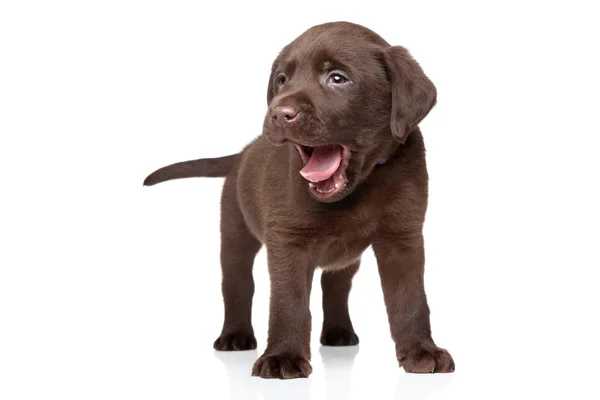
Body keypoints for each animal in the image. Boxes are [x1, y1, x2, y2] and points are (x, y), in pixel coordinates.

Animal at [144, 21, 454, 378]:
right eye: (282, 80)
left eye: (337, 78)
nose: (279, 114)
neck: (359, 188)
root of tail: (243, 152)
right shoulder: (288, 240)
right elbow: (289, 301)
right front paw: (283, 357)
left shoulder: (403, 236)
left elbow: (410, 299)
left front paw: (421, 351)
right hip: (235, 232)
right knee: (237, 284)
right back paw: (235, 336)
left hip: (344, 258)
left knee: (335, 287)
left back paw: (338, 333)